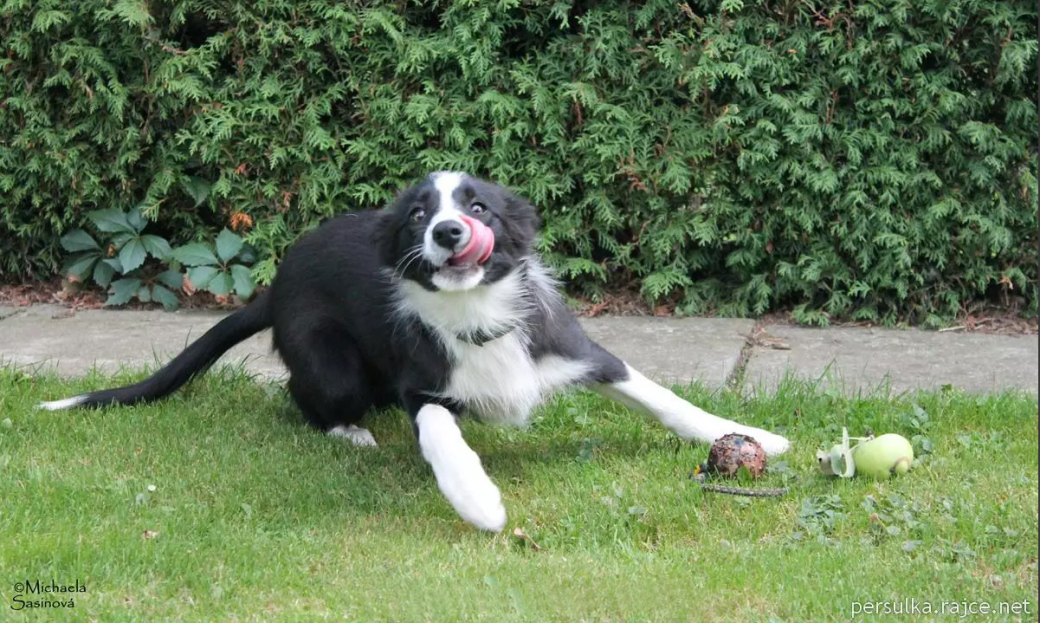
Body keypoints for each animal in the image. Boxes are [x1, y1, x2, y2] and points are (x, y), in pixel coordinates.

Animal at [40, 171, 786, 530]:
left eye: (478, 208)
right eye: (420, 215)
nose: (450, 233)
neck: (474, 313)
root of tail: (276, 284)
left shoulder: (575, 348)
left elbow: (659, 395)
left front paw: (755, 437)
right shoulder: (420, 386)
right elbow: (440, 435)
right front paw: (478, 502)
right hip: (332, 362)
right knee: (303, 394)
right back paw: (349, 432)